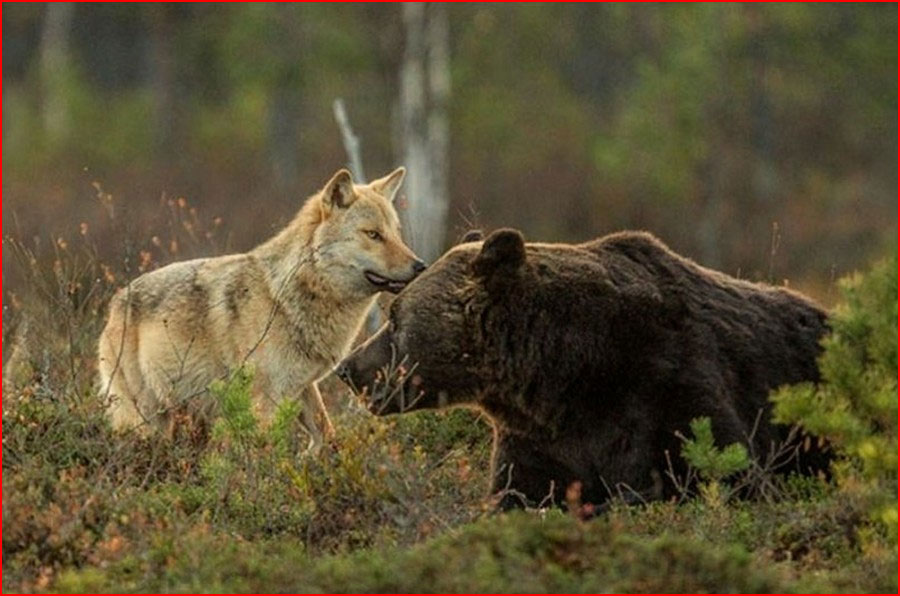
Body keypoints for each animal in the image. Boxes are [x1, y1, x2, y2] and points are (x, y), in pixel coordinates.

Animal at [96, 165, 428, 444]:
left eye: (396, 234)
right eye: (373, 234)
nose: (420, 266)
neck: (285, 297)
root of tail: (115, 302)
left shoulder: (303, 386)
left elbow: (327, 434)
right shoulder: (264, 400)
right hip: (144, 418)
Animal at [336, 228, 828, 508]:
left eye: (395, 318)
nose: (347, 367)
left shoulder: (669, 381)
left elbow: (725, 474)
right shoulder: (541, 439)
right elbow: (519, 495)